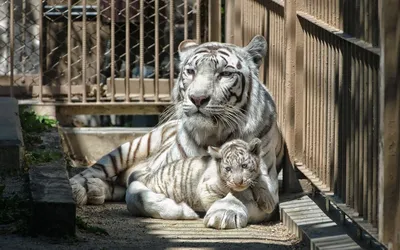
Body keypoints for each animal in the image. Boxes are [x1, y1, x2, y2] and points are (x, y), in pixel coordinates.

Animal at [70, 34, 286, 229]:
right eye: (191, 71)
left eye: (225, 74)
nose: (197, 98)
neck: (212, 134)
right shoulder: (148, 175)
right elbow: (135, 196)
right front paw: (182, 210)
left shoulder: (268, 183)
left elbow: (243, 192)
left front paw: (226, 211)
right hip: (131, 148)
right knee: (96, 170)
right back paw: (78, 188)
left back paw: (95, 190)